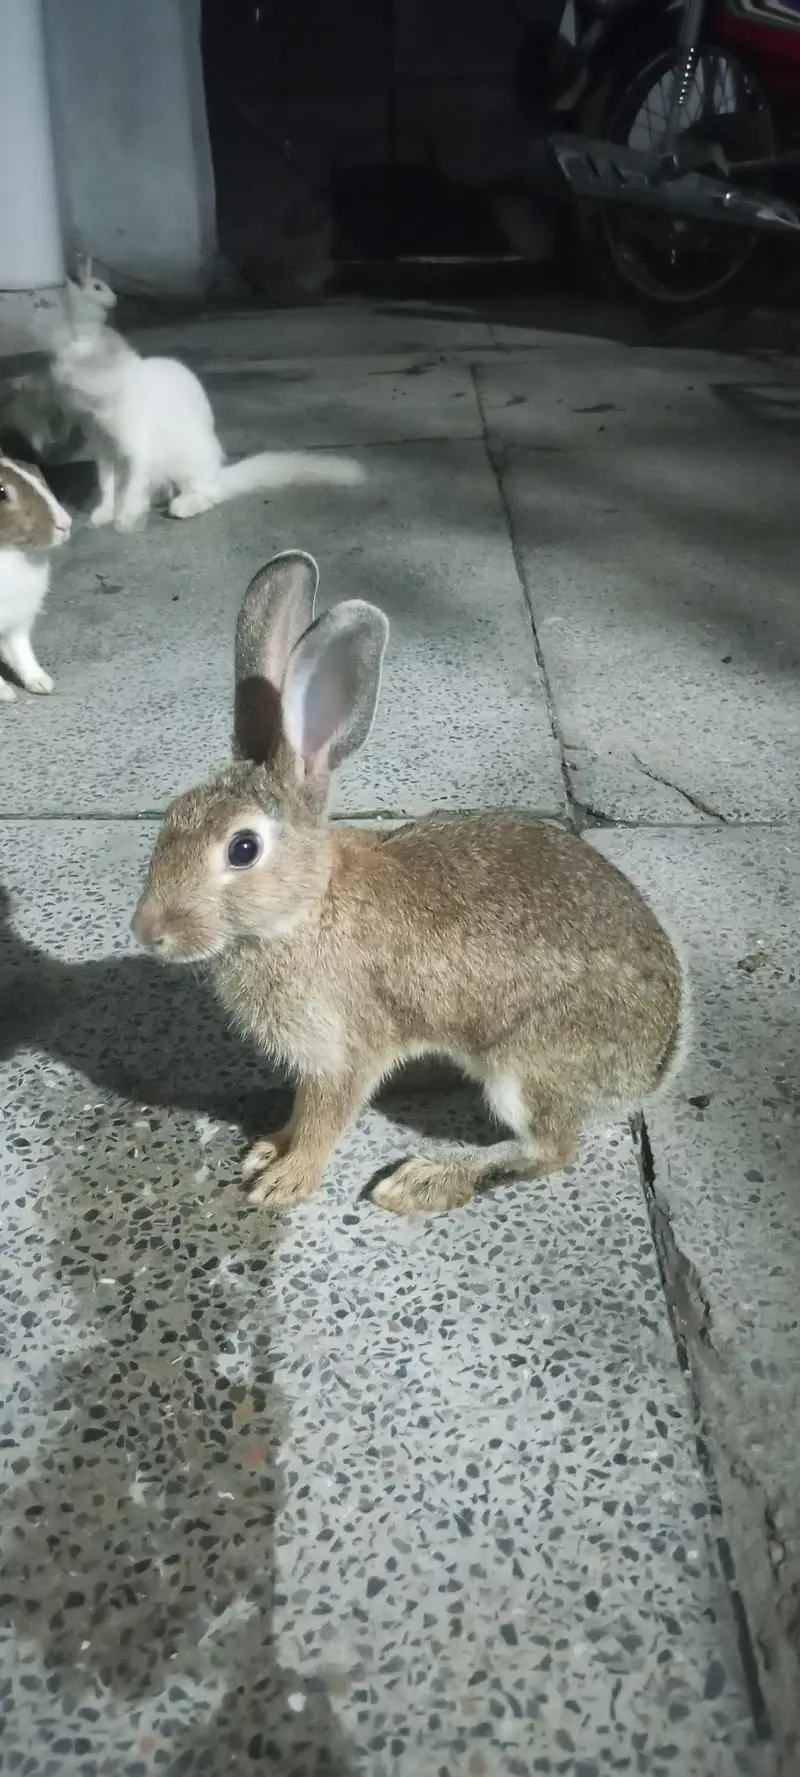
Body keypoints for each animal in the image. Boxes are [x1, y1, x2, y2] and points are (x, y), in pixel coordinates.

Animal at [0, 457, 71, 701]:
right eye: (1, 492)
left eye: (34, 470)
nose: (65, 525)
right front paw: (5, 694)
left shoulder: (17, 623)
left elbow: (21, 652)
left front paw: (41, 682)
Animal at [131, 550, 685, 1216]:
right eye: (170, 816)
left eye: (243, 849)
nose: (147, 932)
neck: (305, 909)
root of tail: (653, 1064)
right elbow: (301, 1111)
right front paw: (268, 1148)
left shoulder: (345, 1051)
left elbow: (325, 1117)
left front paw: (284, 1183)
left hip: (527, 1069)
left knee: (552, 1150)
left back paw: (424, 1180)